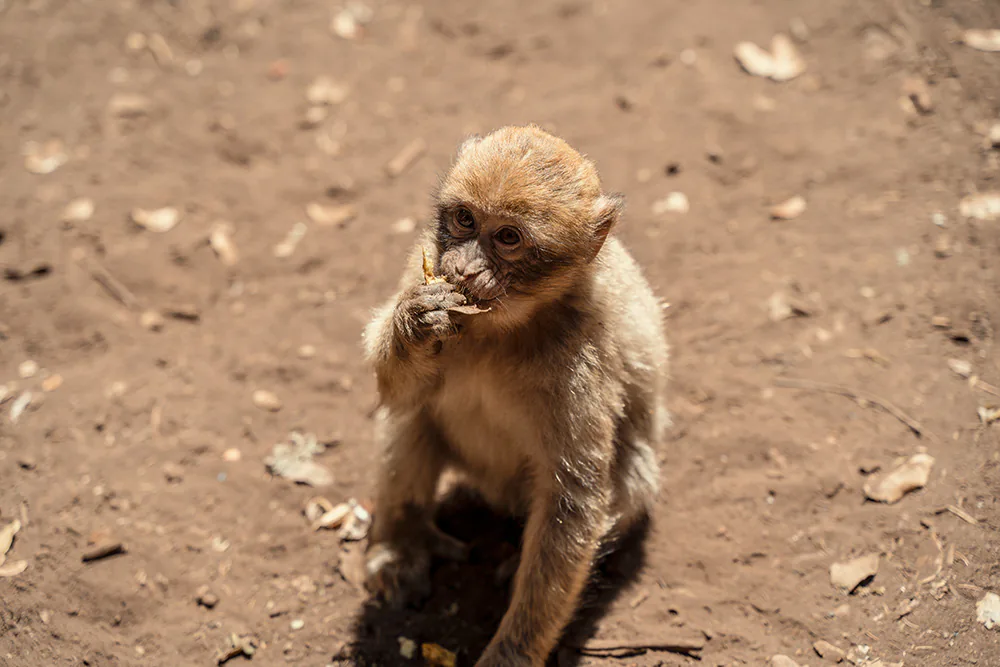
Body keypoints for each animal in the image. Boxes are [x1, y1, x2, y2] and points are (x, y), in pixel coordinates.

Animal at [364, 125, 668, 667]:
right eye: (465, 219)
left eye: (508, 237)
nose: (464, 269)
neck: (502, 327)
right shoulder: (423, 264)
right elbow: (395, 389)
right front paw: (416, 323)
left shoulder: (582, 353)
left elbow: (573, 499)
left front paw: (511, 653)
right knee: (411, 418)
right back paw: (403, 543)